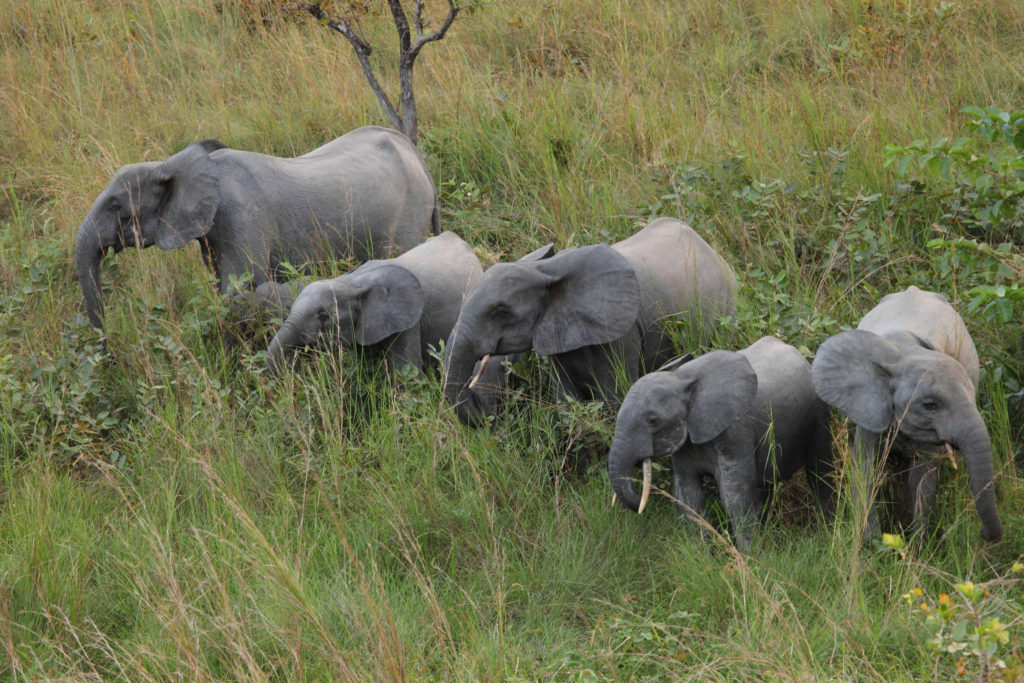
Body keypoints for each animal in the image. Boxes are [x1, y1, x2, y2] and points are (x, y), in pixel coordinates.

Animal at [72, 125, 440, 335]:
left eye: (116, 207)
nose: (108, 349)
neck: (170, 163)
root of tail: (417, 156)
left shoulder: (240, 216)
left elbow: (237, 292)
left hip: (408, 212)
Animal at [440, 218, 737, 428]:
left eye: (500, 312)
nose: (492, 417)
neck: (543, 271)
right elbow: (566, 398)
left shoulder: (622, 331)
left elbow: (614, 396)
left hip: (726, 306)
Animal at [606, 335, 831, 548]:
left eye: (653, 421)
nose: (639, 505)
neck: (681, 380)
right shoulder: (685, 443)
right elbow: (688, 493)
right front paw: (702, 555)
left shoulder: (734, 432)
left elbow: (734, 496)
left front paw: (752, 558)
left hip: (818, 411)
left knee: (820, 472)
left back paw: (826, 529)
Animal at [811, 286, 1003, 540]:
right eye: (930, 405)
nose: (982, 533)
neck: (904, 352)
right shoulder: (870, 405)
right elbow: (865, 467)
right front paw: (873, 544)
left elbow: (922, 478)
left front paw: (917, 546)